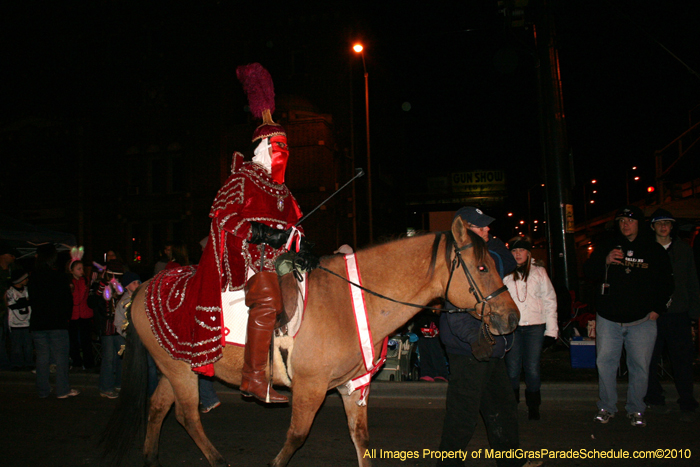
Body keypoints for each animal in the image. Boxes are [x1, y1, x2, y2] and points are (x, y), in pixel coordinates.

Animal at [102, 217, 520, 467]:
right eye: (483, 267)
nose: (512, 318)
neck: (353, 301)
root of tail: (143, 288)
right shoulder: (311, 387)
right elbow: (297, 436)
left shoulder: (354, 386)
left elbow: (361, 439)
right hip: (180, 370)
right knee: (187, 415)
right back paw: (217, 460)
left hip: (176, 367)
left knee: (158, 408)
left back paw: (152, 458)